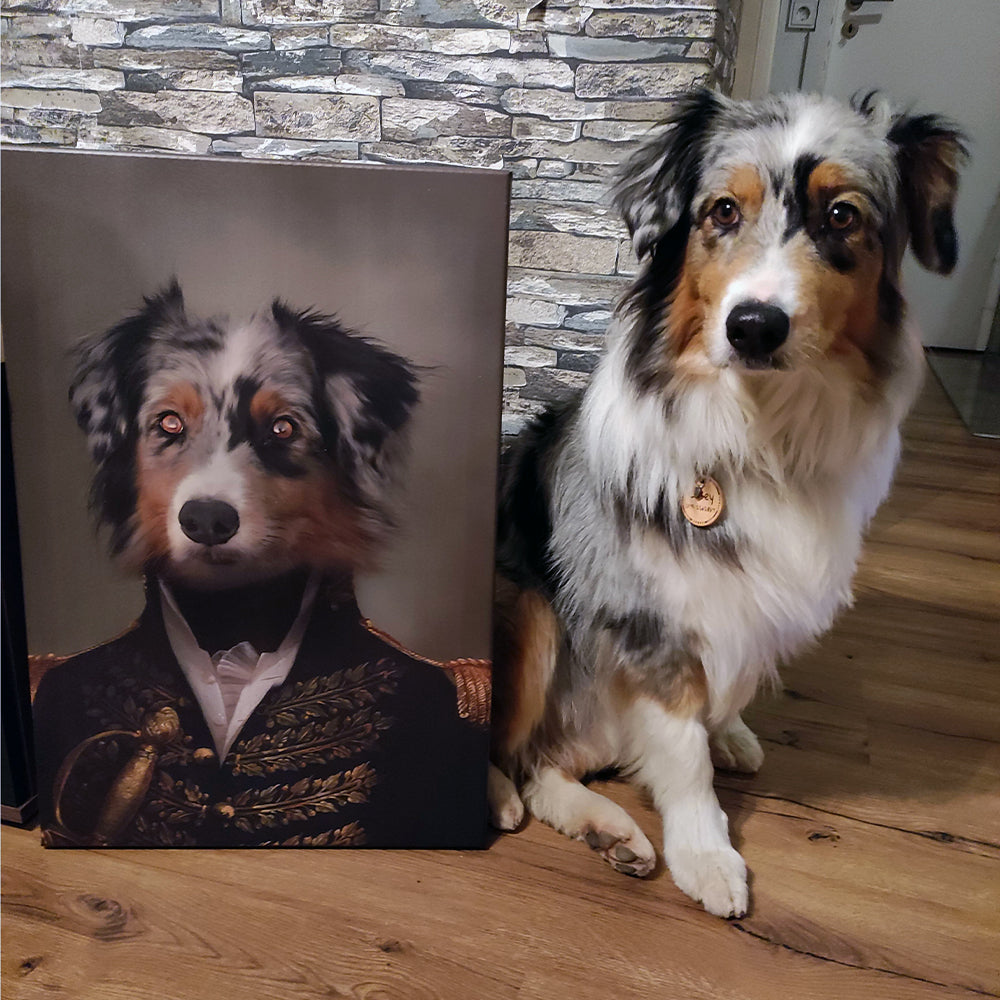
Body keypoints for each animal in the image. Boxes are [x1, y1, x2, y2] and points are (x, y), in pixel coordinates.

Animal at [488, 92, 964, 916]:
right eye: (722, 211)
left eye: (841, 215)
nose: (755, 325)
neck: (760, 429)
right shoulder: (648, 618)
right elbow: (683, 754)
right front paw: (707, 854)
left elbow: (728, 686)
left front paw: (732, 730)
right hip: (535, 613)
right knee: (506, 751)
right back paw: (505, 800)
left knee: (548, 764)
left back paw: (611, 831)